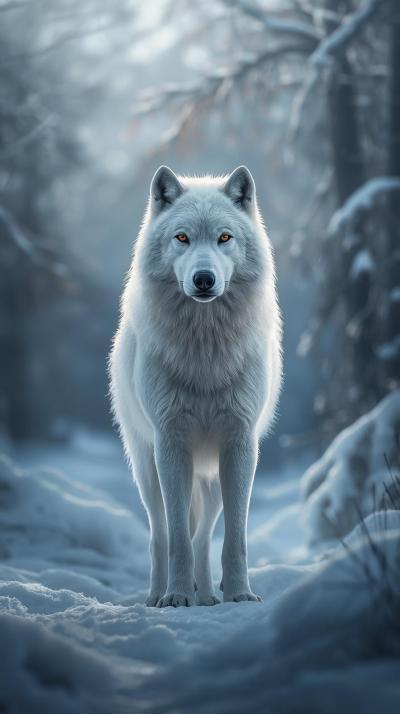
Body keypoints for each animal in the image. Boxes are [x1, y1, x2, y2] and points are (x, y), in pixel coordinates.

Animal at [109, 165, 282, 607]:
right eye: (182, 238)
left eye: (224, 237)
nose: (204, 279)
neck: (205, 349)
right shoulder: (170, 442)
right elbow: (176, 538)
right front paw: (175, 597)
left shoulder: (240, 444)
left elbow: (235, 538)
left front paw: (239, 593)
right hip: (147, 467)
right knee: (160, 533)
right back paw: (159, 594)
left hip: (213, 476)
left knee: (204, 536)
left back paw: (206, 596)